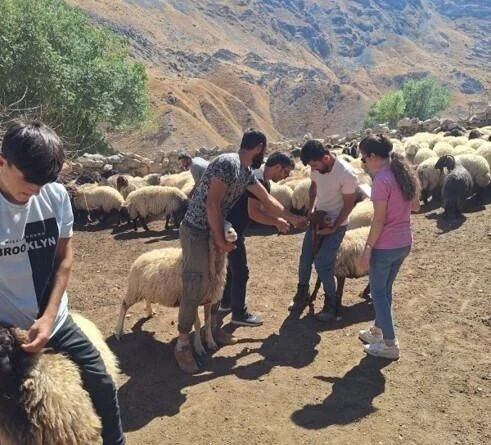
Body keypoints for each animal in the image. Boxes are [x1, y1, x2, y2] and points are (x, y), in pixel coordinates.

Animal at [115, 222, 238, 358]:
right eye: (218, 226)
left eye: (231, 224)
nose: (233, 233)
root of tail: (141, 257)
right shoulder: (191, 299)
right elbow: (198, 324)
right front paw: (199, 347)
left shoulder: (208, 300)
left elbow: (208, 322)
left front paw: (211, 343)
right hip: (134, 289)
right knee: (124, 305)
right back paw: (118, 331)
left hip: (147, 289)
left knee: (147, 298)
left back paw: (149, 312)